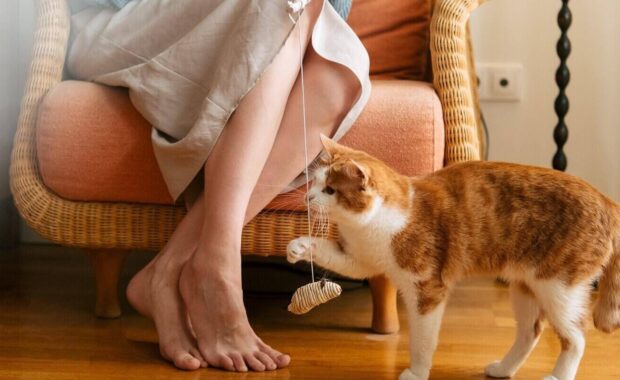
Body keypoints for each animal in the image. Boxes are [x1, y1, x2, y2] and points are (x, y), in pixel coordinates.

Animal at [286, 137, 620, 380]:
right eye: (315, 183)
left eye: (330, 190)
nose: (307, 197)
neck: (372, 226)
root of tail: (606, 200)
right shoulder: (362, 260)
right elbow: (336, 257)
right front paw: (299, 246)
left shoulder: (427, 289)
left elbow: (423, 338)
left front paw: (417, 372)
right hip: (526, 287)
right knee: (530, 332)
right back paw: (503, 369)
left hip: (557, 287)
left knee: (576, 337)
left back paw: (557, 375)